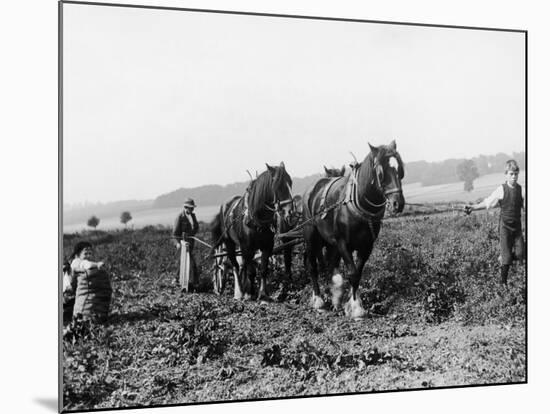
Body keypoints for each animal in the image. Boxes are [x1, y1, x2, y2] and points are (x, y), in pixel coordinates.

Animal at [210, 163, 296, 302]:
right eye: (278, 185)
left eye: (290, 182)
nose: (291, 213)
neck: (257, 218)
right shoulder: (247, 247)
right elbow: (251, 271)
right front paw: (249, 293)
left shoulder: (267, 246)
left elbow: (263, 269)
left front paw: (263, 294)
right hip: (229, 243)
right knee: (234, 265)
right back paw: (239, 292)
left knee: (242, 265)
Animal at [302, 141, 406, 318]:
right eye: (381, 172)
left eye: (399, 169)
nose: (398, 203)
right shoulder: (343, 243)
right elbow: (352, 273)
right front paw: (356, 308)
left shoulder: (366, 246)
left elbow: (357, 274)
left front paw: (350, 304)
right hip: (311, 237)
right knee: (312, 267)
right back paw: (319, 301)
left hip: (330, 244)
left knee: (329, 267)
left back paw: (335, 300)